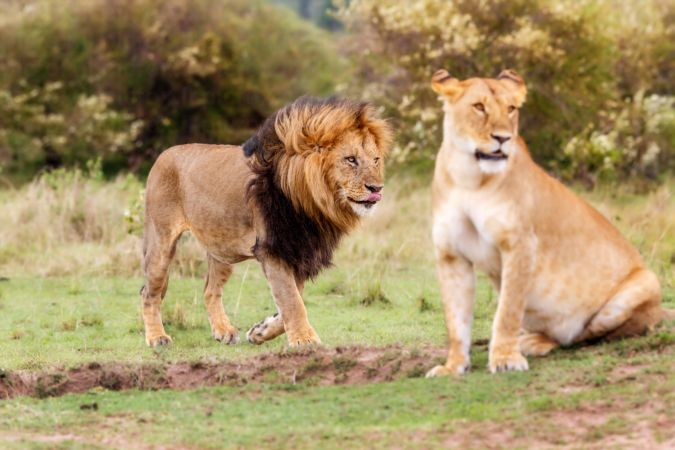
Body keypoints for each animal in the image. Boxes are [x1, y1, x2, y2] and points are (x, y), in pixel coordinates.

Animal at [140, 97, 392, 347]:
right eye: (351, 160)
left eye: (375, 160)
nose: (377, 189)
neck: (315, 205)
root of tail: (163, 155)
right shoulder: (272, 249)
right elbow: (292, 300)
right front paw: (305, 340)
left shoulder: (299, 251)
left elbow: (292, 300)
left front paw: (260, 331)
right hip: (161, 243)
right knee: (148, 293)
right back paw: (157, 337)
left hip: (223, 249)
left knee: (210, 290)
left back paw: (223, 331)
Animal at [425, 69, 671, 376]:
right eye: (479, 107)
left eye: (511, 109)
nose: (503, 138)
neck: (469, 178)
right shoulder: (450, 255)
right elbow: (456, 321)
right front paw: (453, 366)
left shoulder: (520, 246)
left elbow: (507, 310)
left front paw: (506, 358)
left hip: (643, 285)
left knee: (579, 335)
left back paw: (532, 343)